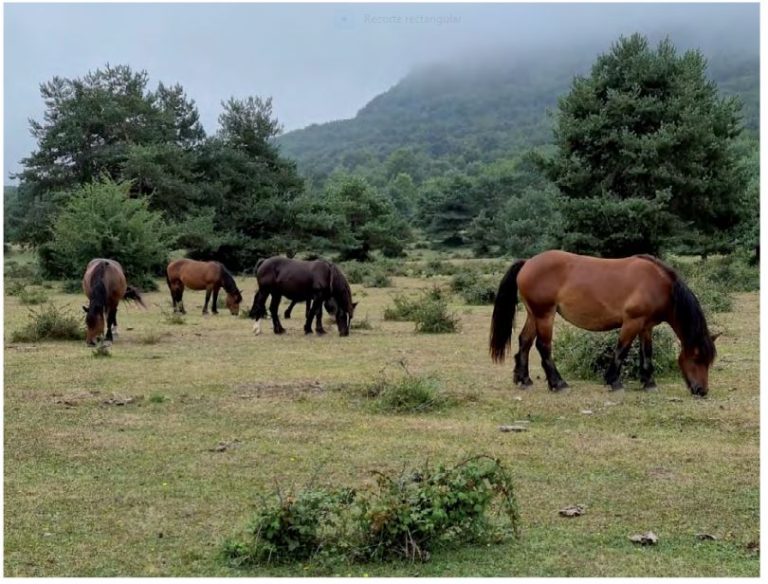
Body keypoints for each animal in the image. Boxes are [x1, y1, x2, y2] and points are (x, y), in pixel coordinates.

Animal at [488, 251, 716, 396]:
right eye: (697, 358)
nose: (702, 391)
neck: (658, 284)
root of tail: (528, 262)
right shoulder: (632, 322)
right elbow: (621, 350)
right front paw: (613, 381)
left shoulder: (646, 326)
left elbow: (647, 353)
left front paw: (649, 383)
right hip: (545, 315)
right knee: (543, 347)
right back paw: (558, 384)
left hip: (533, 314)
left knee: (524, 341)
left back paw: (524, 379)